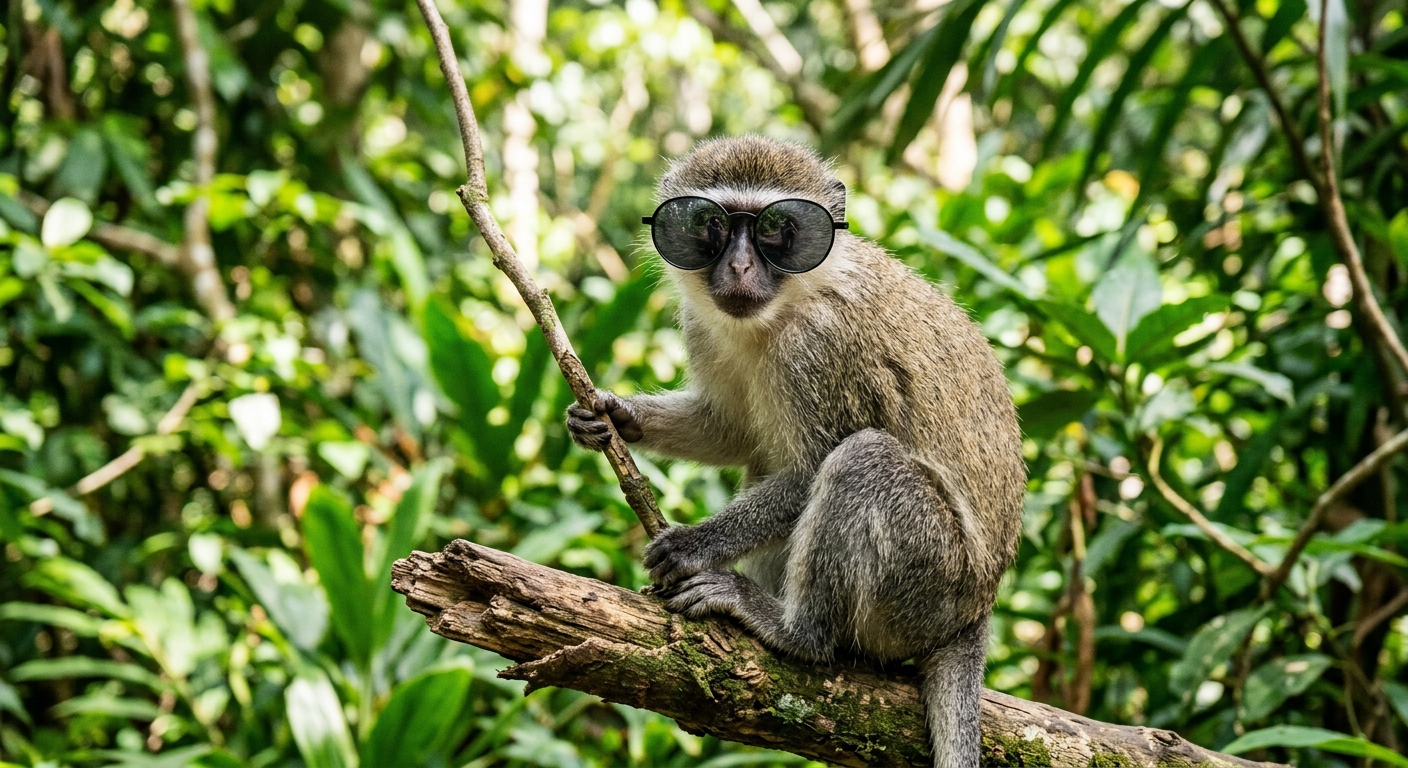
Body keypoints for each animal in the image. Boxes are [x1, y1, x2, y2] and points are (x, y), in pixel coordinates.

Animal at [566, 136, 1024, 767]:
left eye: (778, 230)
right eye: (708, 226)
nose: (738, 267)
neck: (784, 308)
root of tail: (979, 607)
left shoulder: (818, 346)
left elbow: (811, 469)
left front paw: (694, 545)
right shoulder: (702, 324)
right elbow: (731, 431)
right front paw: (612, 415)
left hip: (930, 585)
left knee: (863, 461)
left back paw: (794, 632)